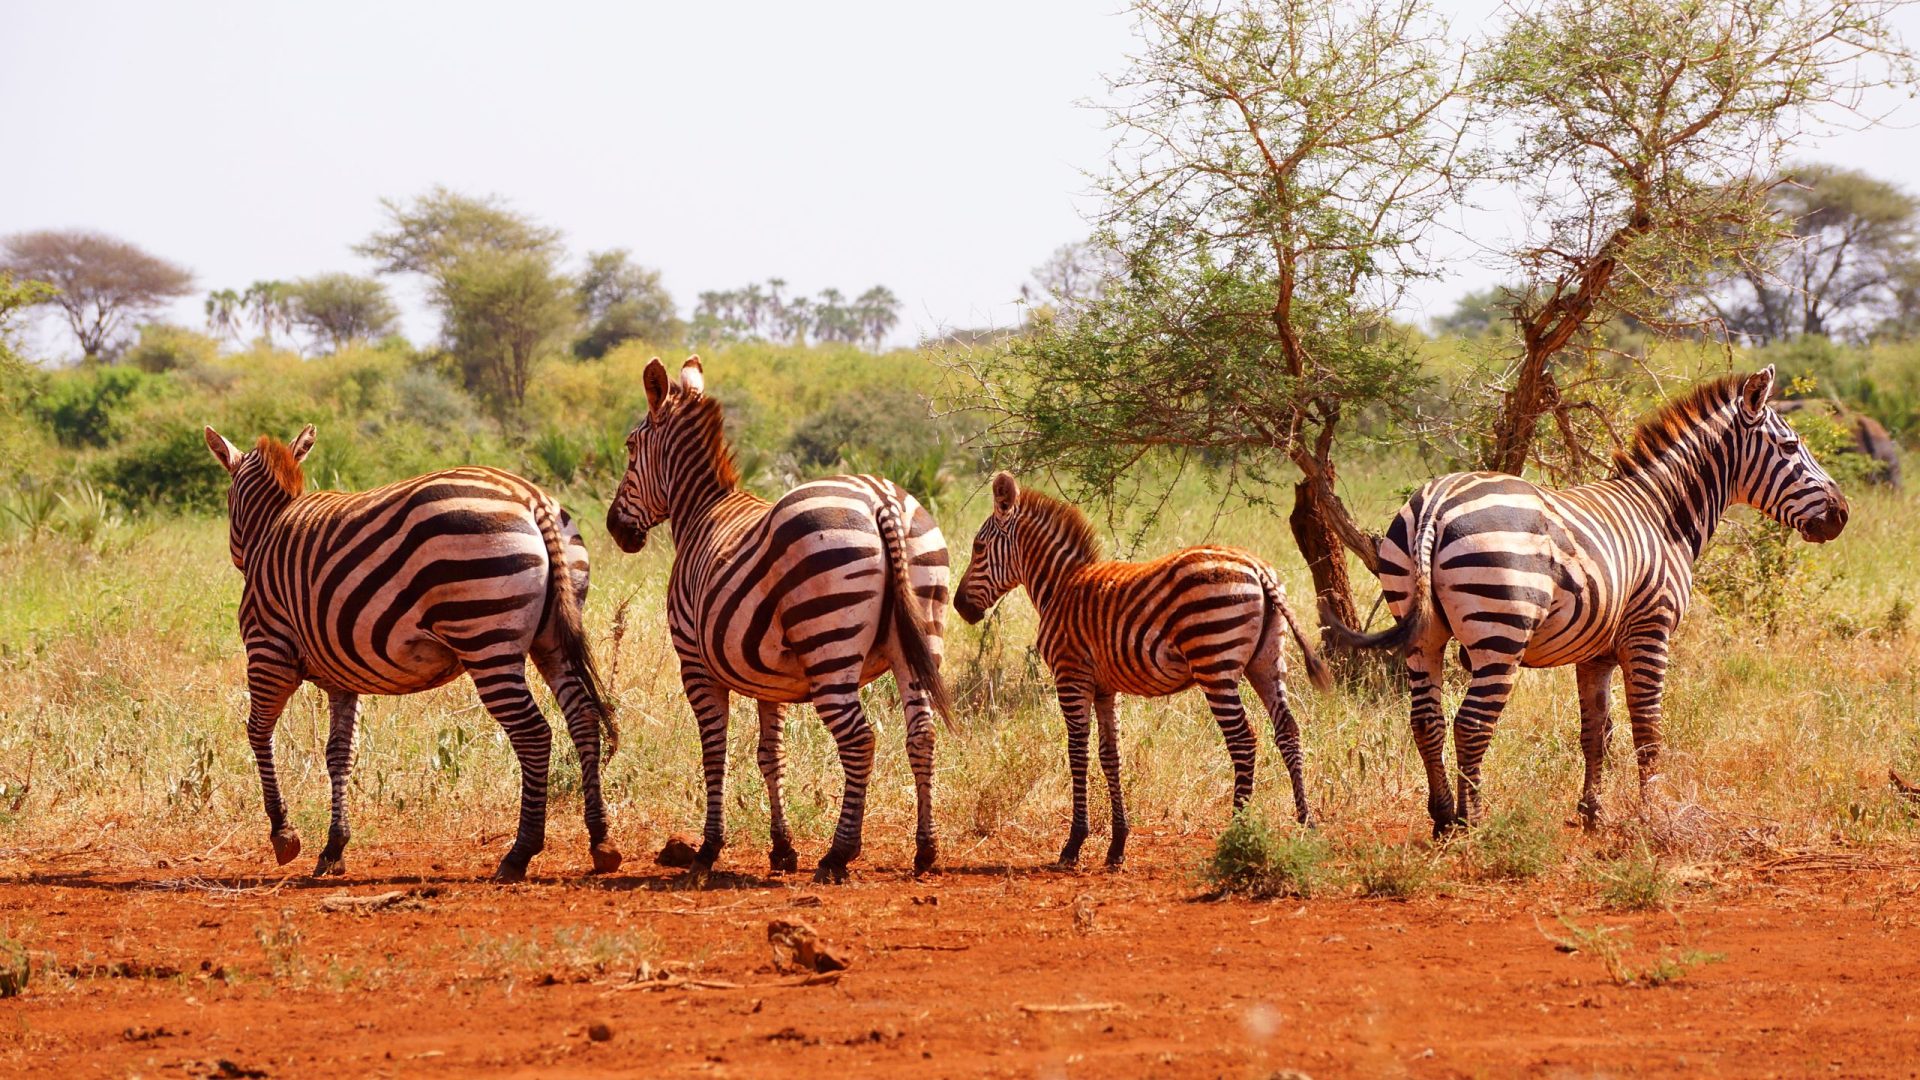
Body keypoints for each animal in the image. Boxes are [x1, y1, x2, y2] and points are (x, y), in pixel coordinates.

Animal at [196, 420, 614, 876]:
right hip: (552, 638)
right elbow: (340, 753)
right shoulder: (342, 675)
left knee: (534, 733)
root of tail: (530, 498)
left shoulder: (268, 651)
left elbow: (258, 732)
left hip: (484, 637)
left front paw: (283, 834)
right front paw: (334, 847)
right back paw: (601, 839)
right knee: (583, 718)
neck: (270, 527)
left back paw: (520, 853)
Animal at [606, 357, 952, 880]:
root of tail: (882, 500)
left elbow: (715, 752)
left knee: (859, 740)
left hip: (829, 643)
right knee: (922, 734)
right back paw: (925, 849)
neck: (702, 512)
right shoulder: (769, 679)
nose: (614, 529)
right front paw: (782, 849)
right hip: (919, 638)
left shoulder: (695, 664)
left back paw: (838, 854)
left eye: (629, 447)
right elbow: (771, 755)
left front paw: (708, 849)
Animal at [948, 470, 1336, 864]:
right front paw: (1117, 844)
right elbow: (1110, 755)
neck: (1061, 585)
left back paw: (1236, 831)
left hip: (1214, 662)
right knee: (1288, 730)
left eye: (978, 548)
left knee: (1243, 740)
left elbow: (1077, 753)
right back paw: (1307, 824)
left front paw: (1073, 843)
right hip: (1267, 661)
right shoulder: (1105, 687)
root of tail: (1257, 568)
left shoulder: (1071, 675)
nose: (959, 605)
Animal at [1328, 367, 1850, 834]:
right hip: (1501, 631)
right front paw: (1653, 815)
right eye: (1790, 446)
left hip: (1423, 634)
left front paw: (1591, 813)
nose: (1842, 514)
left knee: (1426, 721)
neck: (1664, 515)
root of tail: (1436, 500)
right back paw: (1471, 823)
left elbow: (1595, 733)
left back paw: (1440, 819)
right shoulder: (1650, 632)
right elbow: (1647, 732)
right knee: (1471, 725)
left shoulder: (1595, 653)